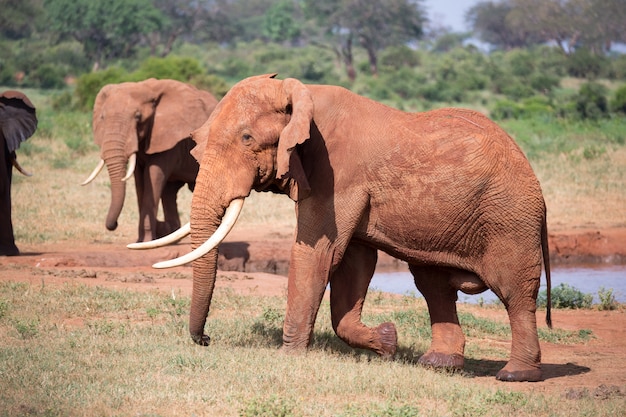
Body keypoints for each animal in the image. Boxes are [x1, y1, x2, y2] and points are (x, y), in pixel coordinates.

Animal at [81, 78, 217, 242]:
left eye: (138, 117)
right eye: (102, 118)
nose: (114, 224)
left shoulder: (169, 138)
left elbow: (153, 175)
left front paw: (146, 240)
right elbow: (140, 181)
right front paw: (141, 241)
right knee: (169, 192)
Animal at [143, 74, 552, 380]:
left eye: (246, 139)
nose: (206, 339)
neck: (300, 94)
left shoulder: (337, 172)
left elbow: (318, 252)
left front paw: (290, 356)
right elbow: (354, 261)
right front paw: (386, 341)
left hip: (510, 217)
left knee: (514, 290)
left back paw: (515, 374)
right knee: (434, 286)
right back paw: (438, 364)